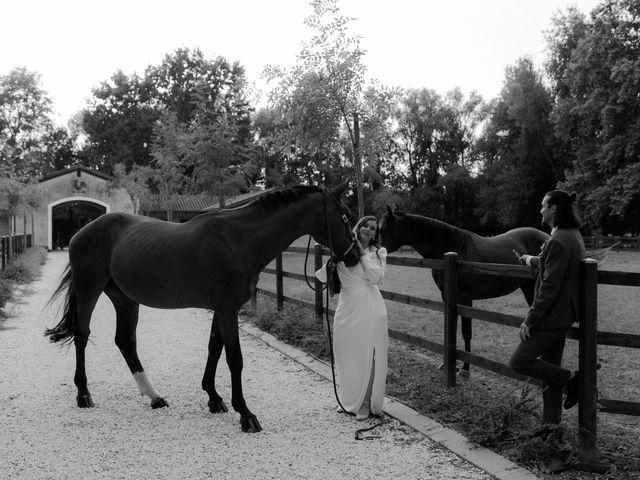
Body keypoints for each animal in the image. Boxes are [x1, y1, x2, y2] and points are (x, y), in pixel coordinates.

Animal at [45, 182, 360, 434]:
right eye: (344, 215)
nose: (355, 255)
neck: (240, 240)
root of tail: (81, 232)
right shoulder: (227, 308)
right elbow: (234, 358)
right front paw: (245, 414)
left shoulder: (221, 308)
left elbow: (214, 348)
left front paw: (214, 398)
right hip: (88, 289)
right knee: (82, 335)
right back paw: (84, 395)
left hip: (124, 299)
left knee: (125, 341)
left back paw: (154, 397)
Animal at [378, 206, 548, 376]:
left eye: (383, 229)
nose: (376, 253)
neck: (454, 251)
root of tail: (546, 237)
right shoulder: (448, 299)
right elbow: (450, 328)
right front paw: (446, 363)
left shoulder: (465, 300)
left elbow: (466, 333)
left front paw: (465, 369)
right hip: (528, 288)